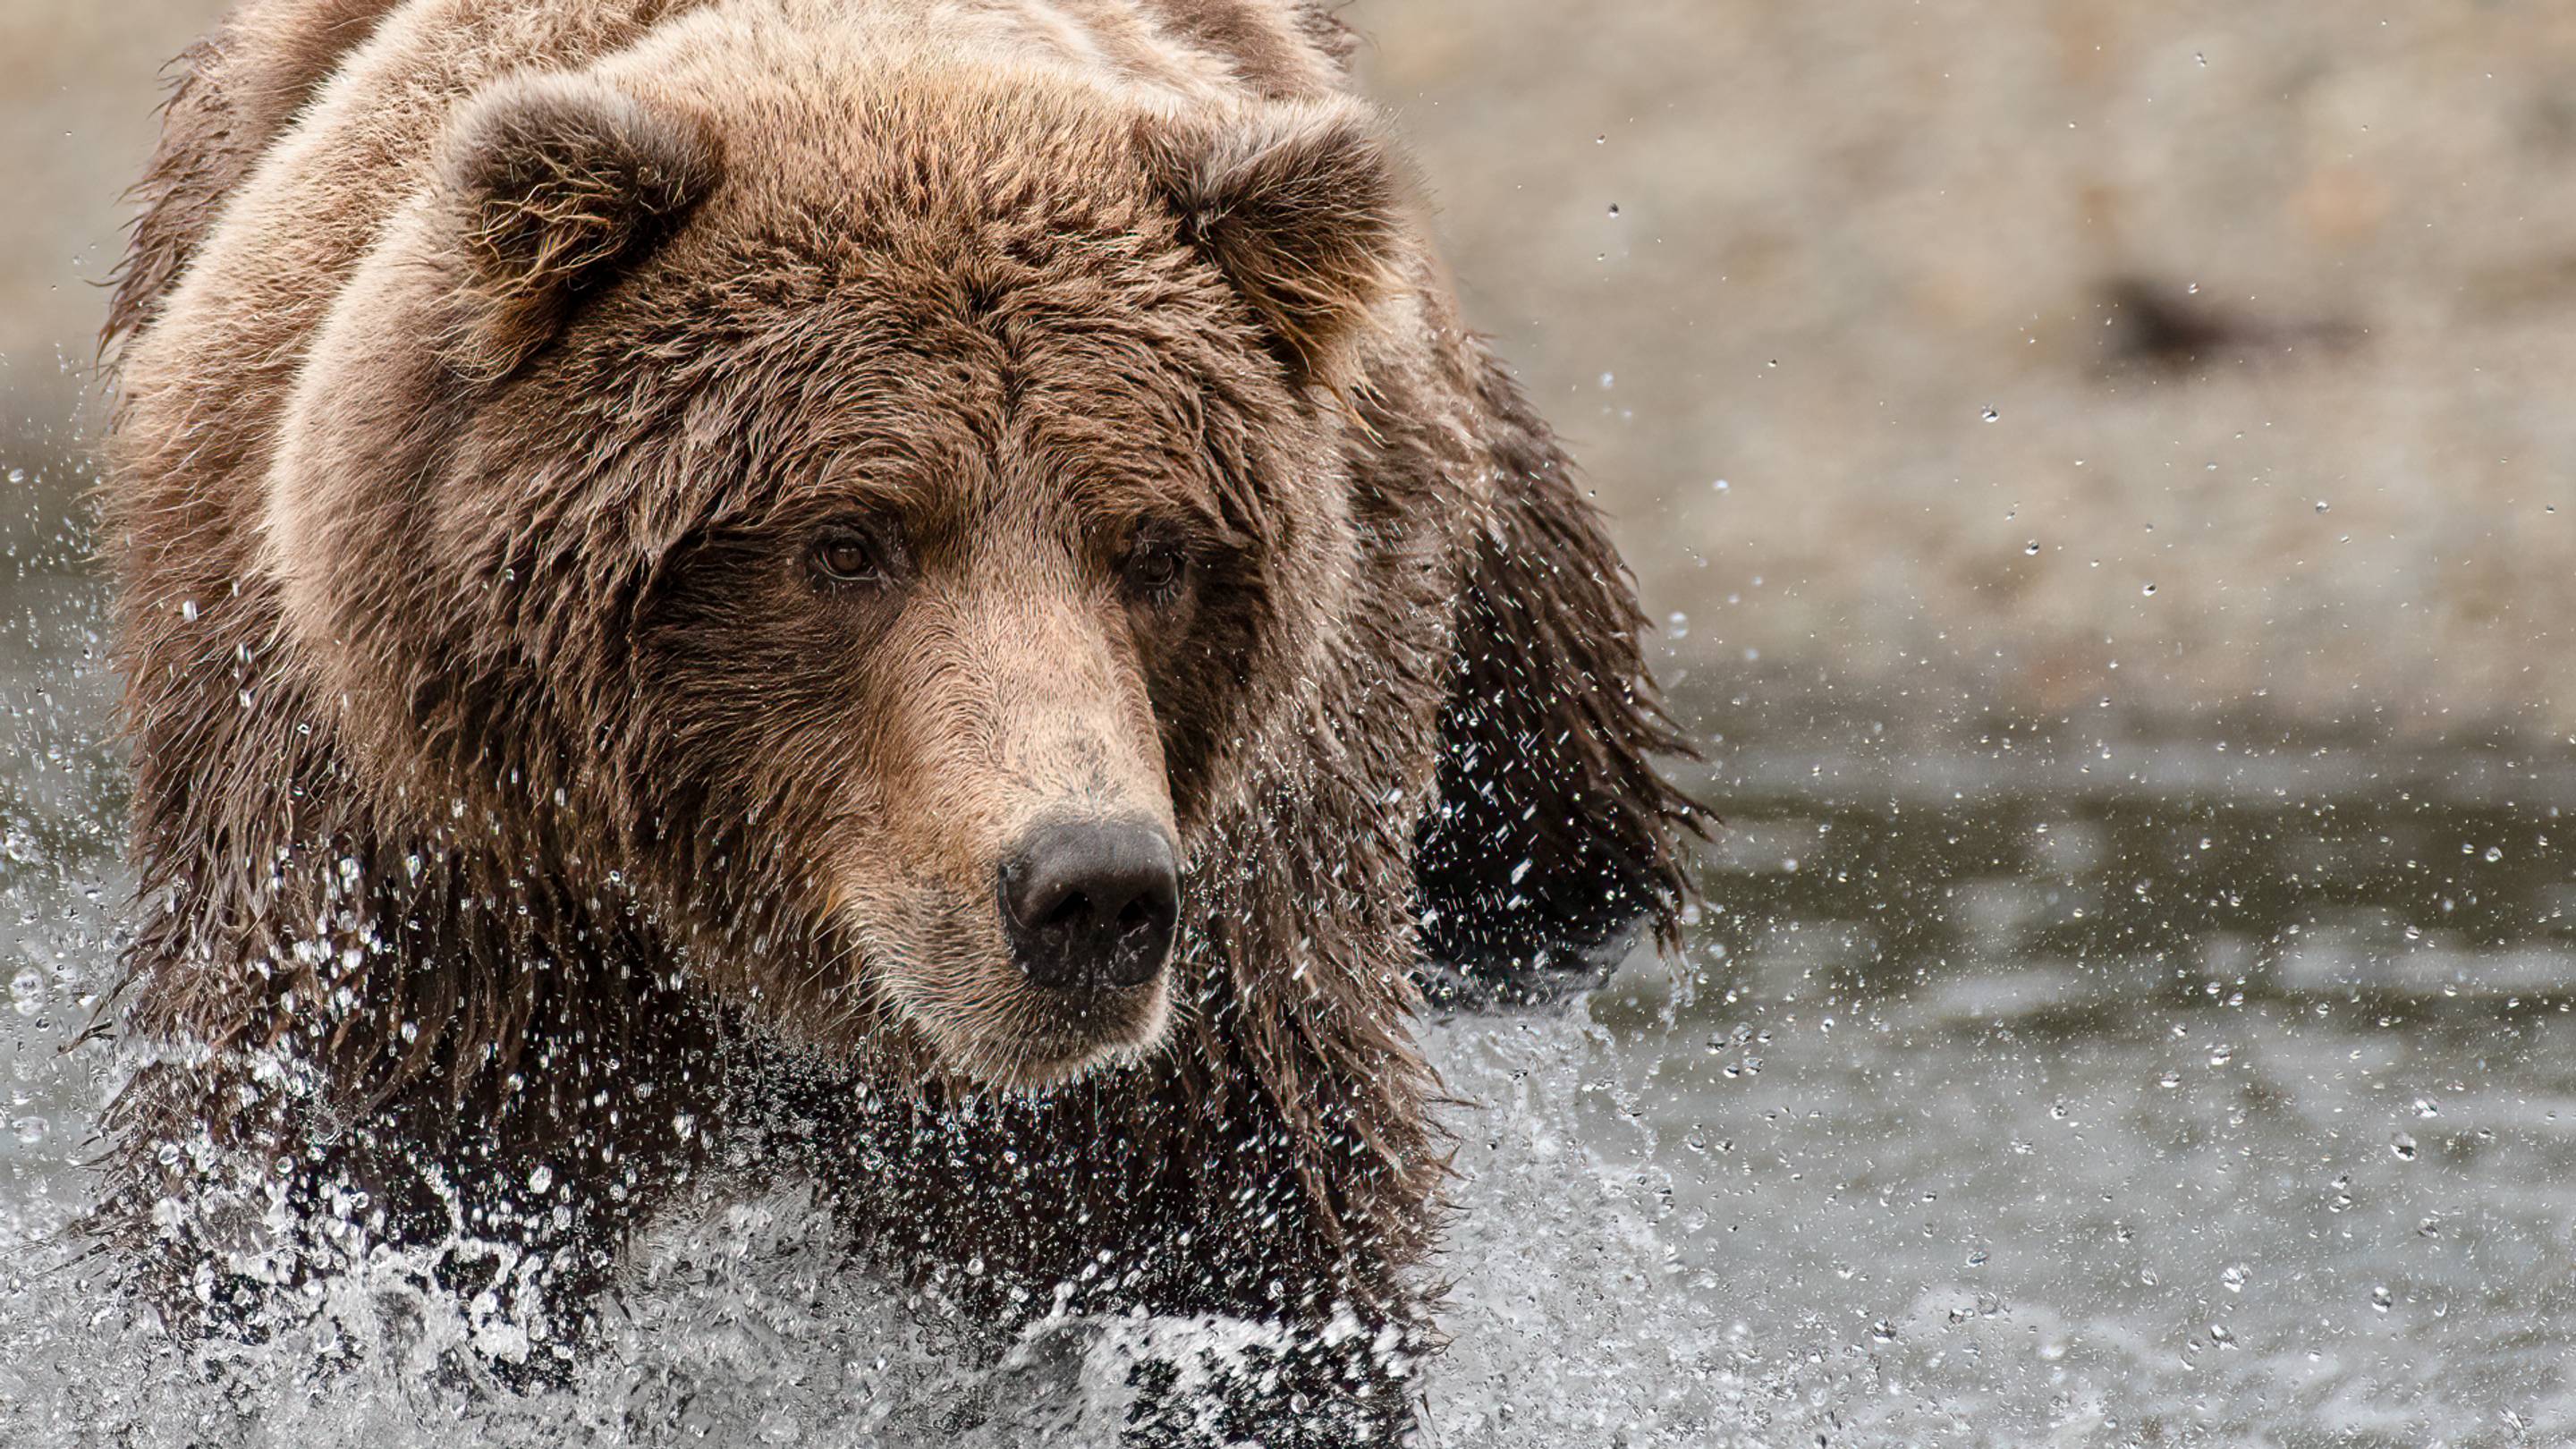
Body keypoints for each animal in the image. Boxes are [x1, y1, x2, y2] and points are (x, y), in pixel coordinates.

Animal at [93, 0, 1701, 1438]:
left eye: (1157, 550)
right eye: (849, 542)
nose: (1089, 887)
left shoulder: (1220, 980)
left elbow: (1242, 1266)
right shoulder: (433, 896)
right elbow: (348, 1219)